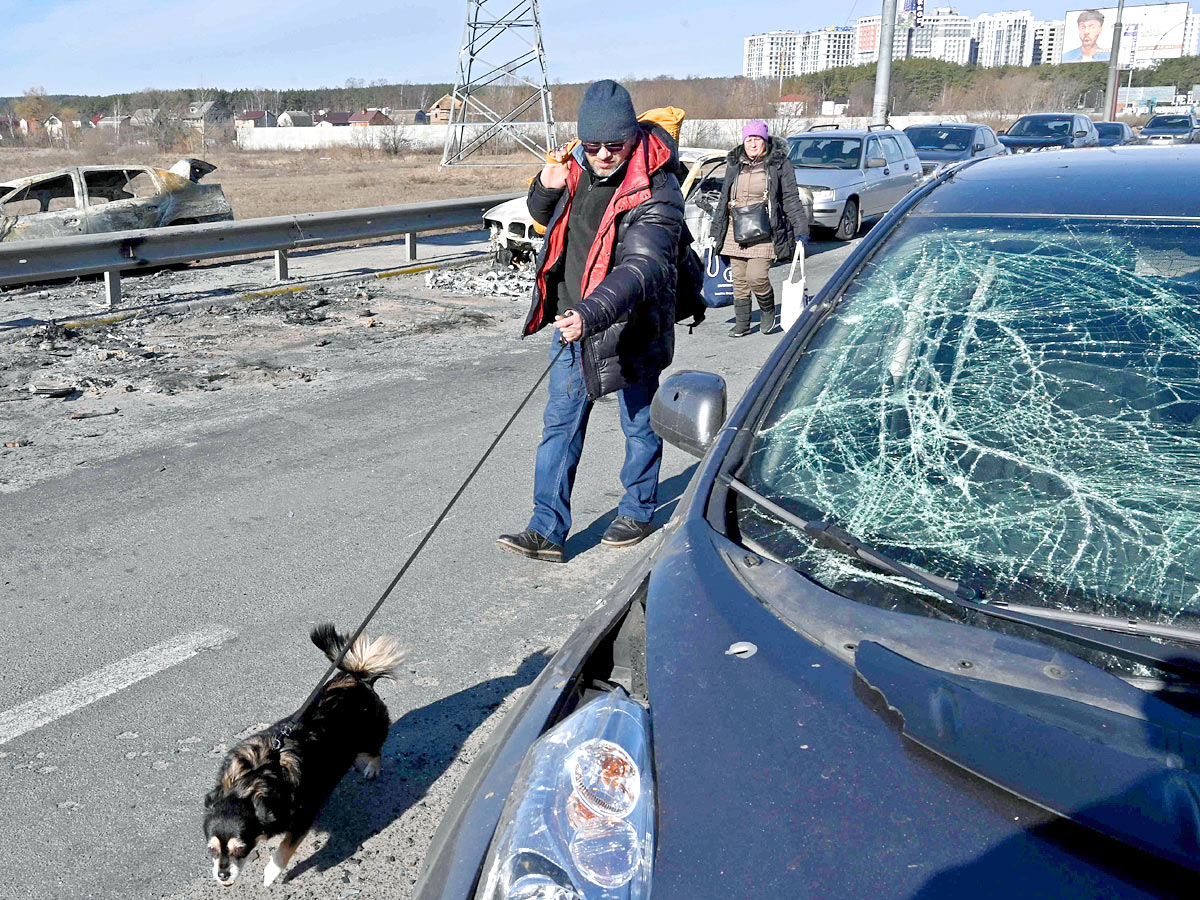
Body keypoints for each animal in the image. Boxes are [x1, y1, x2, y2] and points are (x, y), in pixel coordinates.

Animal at [199, 628, 400, 888]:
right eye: (211, 850)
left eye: (241, 849)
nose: (222, 875)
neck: (252, 778)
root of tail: (358, 678)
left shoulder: (303, 817)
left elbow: (285, 847)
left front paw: (271, 872)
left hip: (368, 736)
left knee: (376, 750)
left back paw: (372, 768)